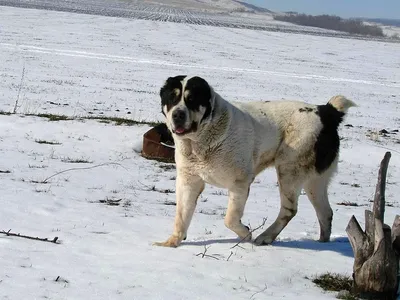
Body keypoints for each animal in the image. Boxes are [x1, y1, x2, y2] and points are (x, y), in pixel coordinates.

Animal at [154, 75, 356, 248]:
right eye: (172, 98)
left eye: (192, 99)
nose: (178, 114)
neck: (202, 138)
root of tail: (326, 112)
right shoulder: (189, 181)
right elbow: (181, 215)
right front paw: (172, 242)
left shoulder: (240, 183)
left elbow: (230, 219)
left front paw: (246, 234)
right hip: (315, 181)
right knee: (325, 212)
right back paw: (322, 243)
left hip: (289, 169)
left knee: (289, 210)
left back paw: (265, 237)